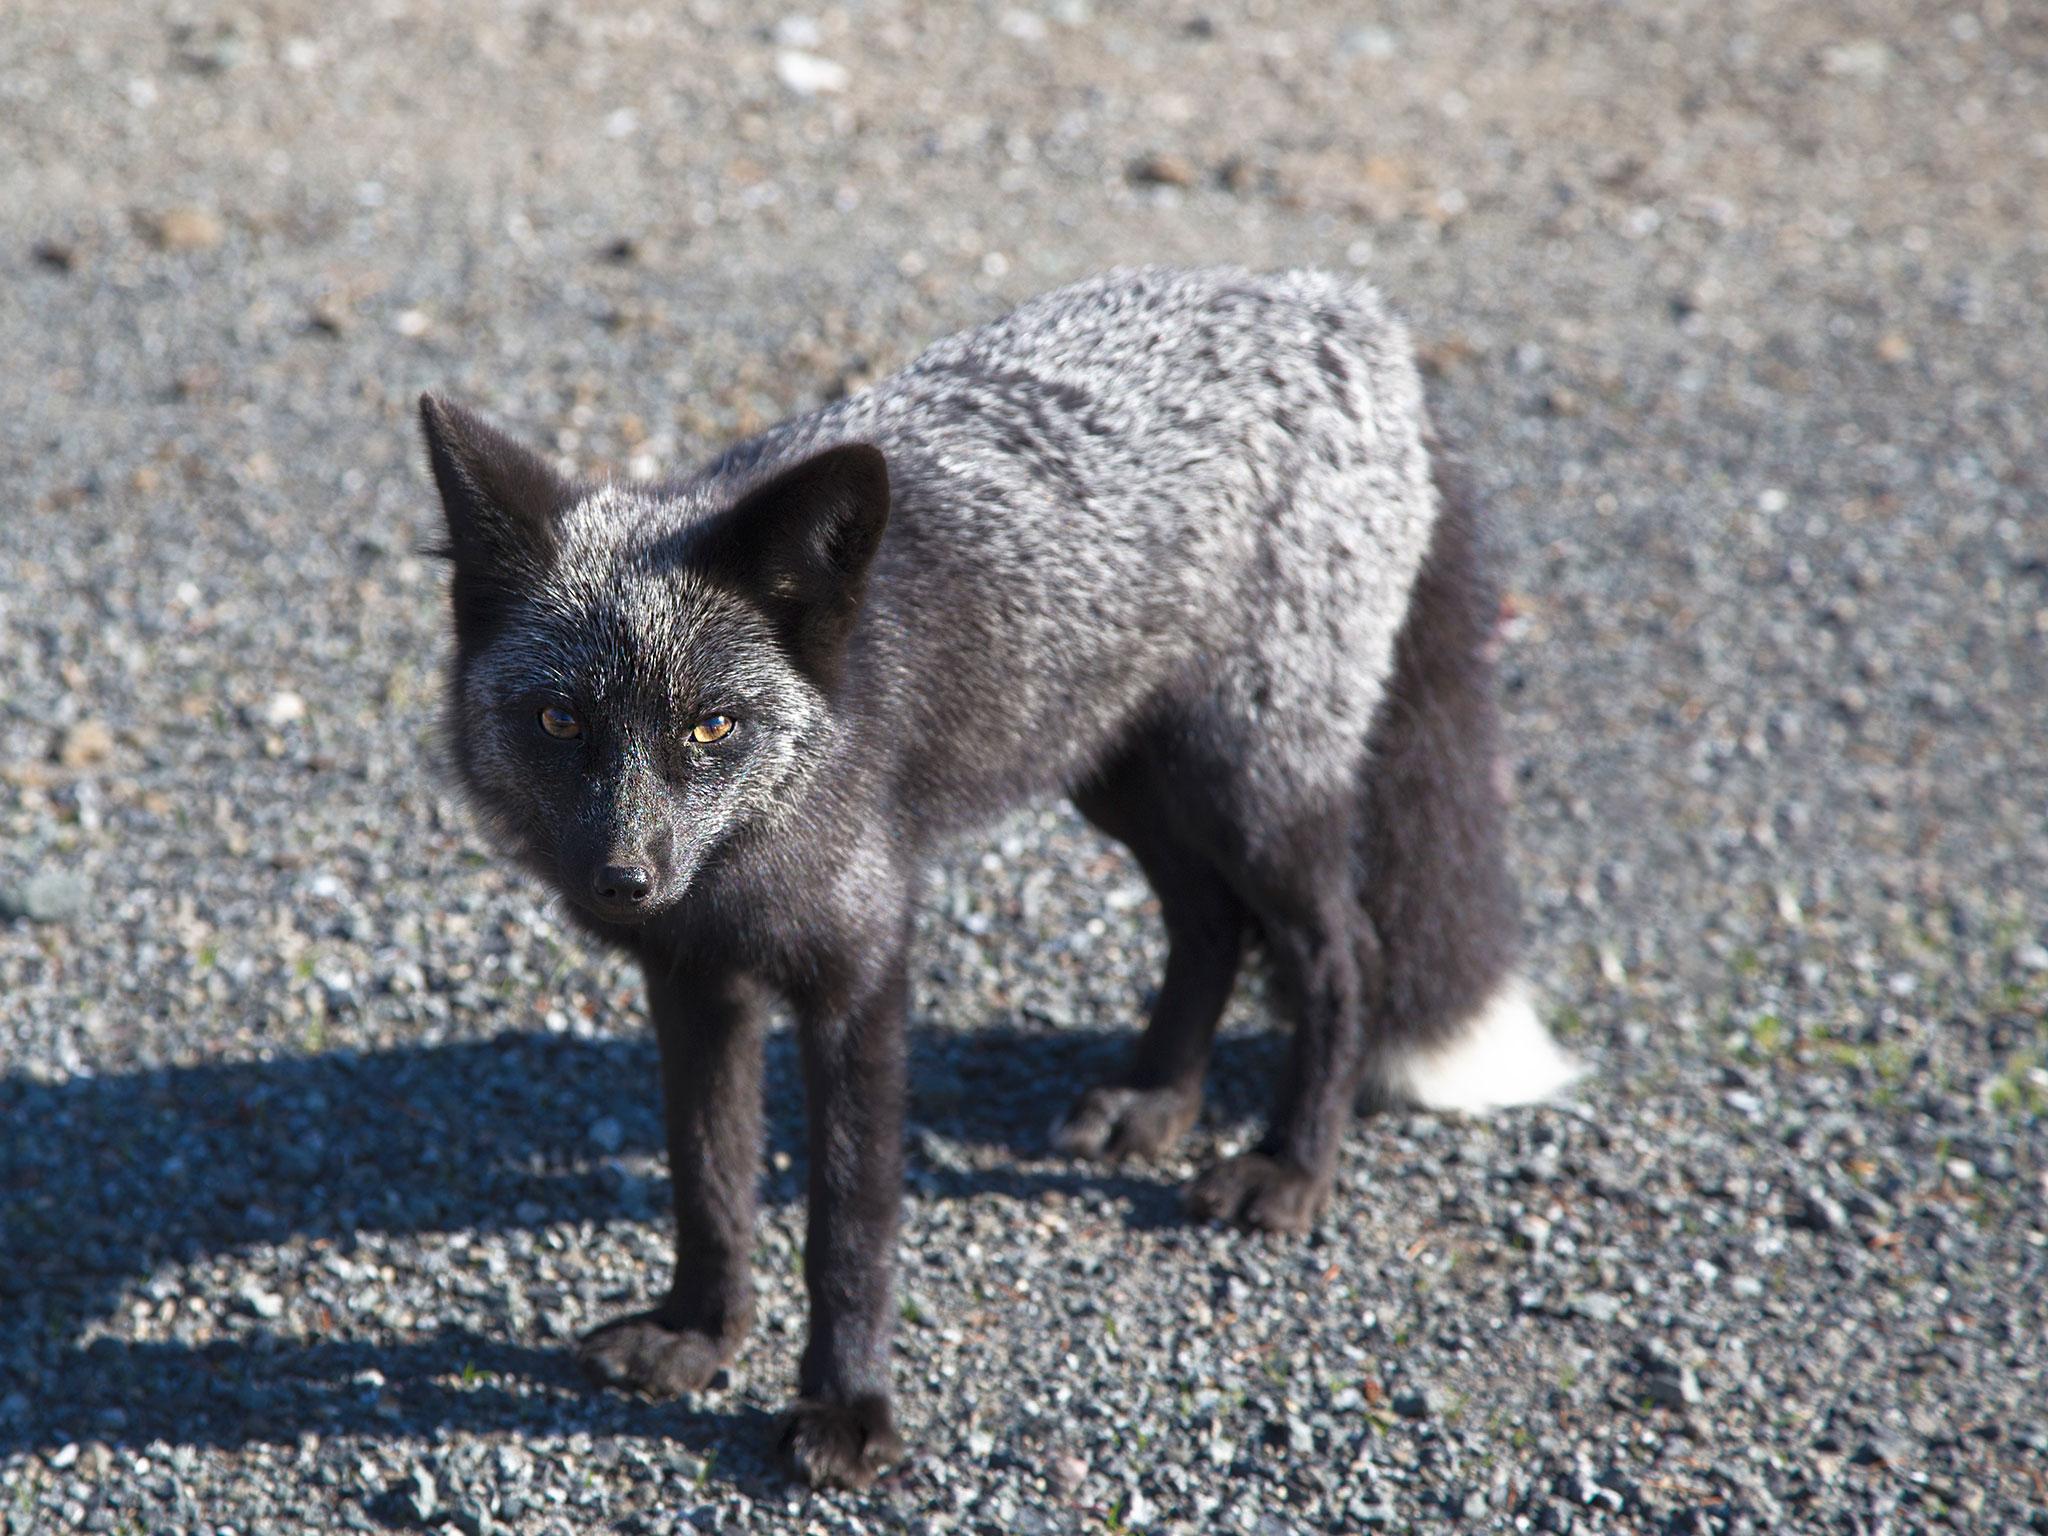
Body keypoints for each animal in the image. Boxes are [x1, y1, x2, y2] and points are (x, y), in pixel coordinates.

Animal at [419, 264, 1581, 1490]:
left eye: (710, 727)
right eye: (559, 721)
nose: (623, 880)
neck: (751, 856)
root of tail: (1349, 308)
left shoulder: (863, 975)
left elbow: (848, 1222)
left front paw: (848, 1410)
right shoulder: (695, 983)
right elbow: (709, 1184)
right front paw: (698, 1332)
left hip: (1252, 789)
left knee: (1338, 950)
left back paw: (1289, 1167)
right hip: (1114, 774)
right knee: (1207, 921)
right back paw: (1155, 1101)